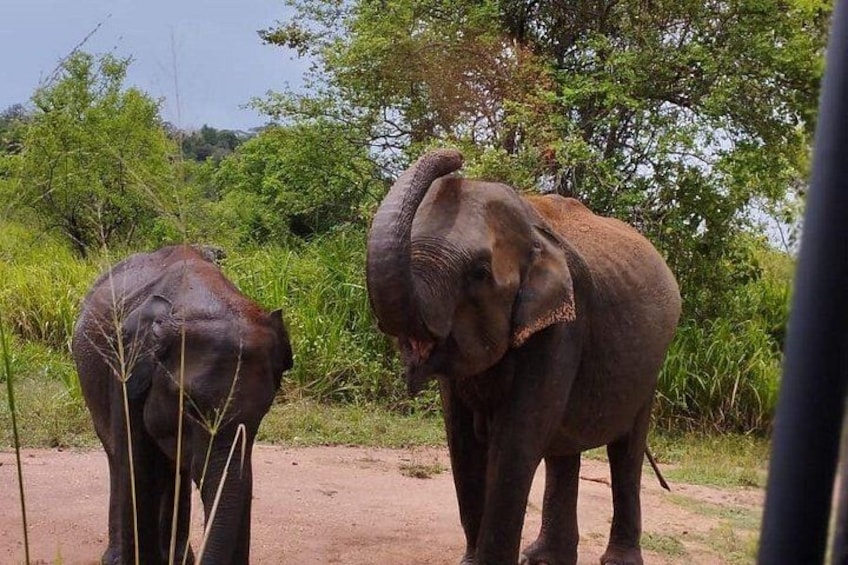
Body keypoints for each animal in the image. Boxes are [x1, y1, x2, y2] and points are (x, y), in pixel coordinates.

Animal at [71, 245, 293, 565]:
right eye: (189, 407)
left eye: (262, 413)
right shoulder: (126, 372)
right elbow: (137, 468)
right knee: (118, 457)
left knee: (176, 469)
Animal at [365, 149, 681, 565]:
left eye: (479, 272)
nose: (455, 156)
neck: (534, 231)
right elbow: (461, 441)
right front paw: (470, 564)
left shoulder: (562, 328)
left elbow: (515, 441)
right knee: (564, 450)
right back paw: (545, 558)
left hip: (650, 367)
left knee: (625, 449)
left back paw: (614, 560)